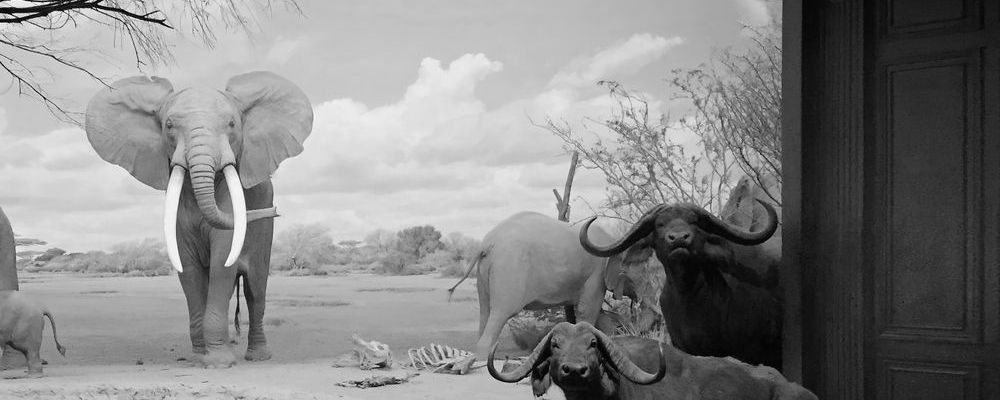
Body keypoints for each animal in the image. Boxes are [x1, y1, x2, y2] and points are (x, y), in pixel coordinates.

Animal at [83, 71, 313, 368]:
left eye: (231, 124)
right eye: (169, 125)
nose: (276, 211)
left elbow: (222, 262)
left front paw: (218, 362)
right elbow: (188, 268)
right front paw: (199, 357)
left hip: (265, 230)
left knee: (255, 289)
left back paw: (258, 356)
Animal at [445, 211, 631, 374]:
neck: (614, 241)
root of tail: (486, 244)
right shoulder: (596, 274)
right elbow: (588, 311)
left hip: (484, 272)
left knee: (486, 311)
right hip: (509, 268)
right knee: (500, 313)